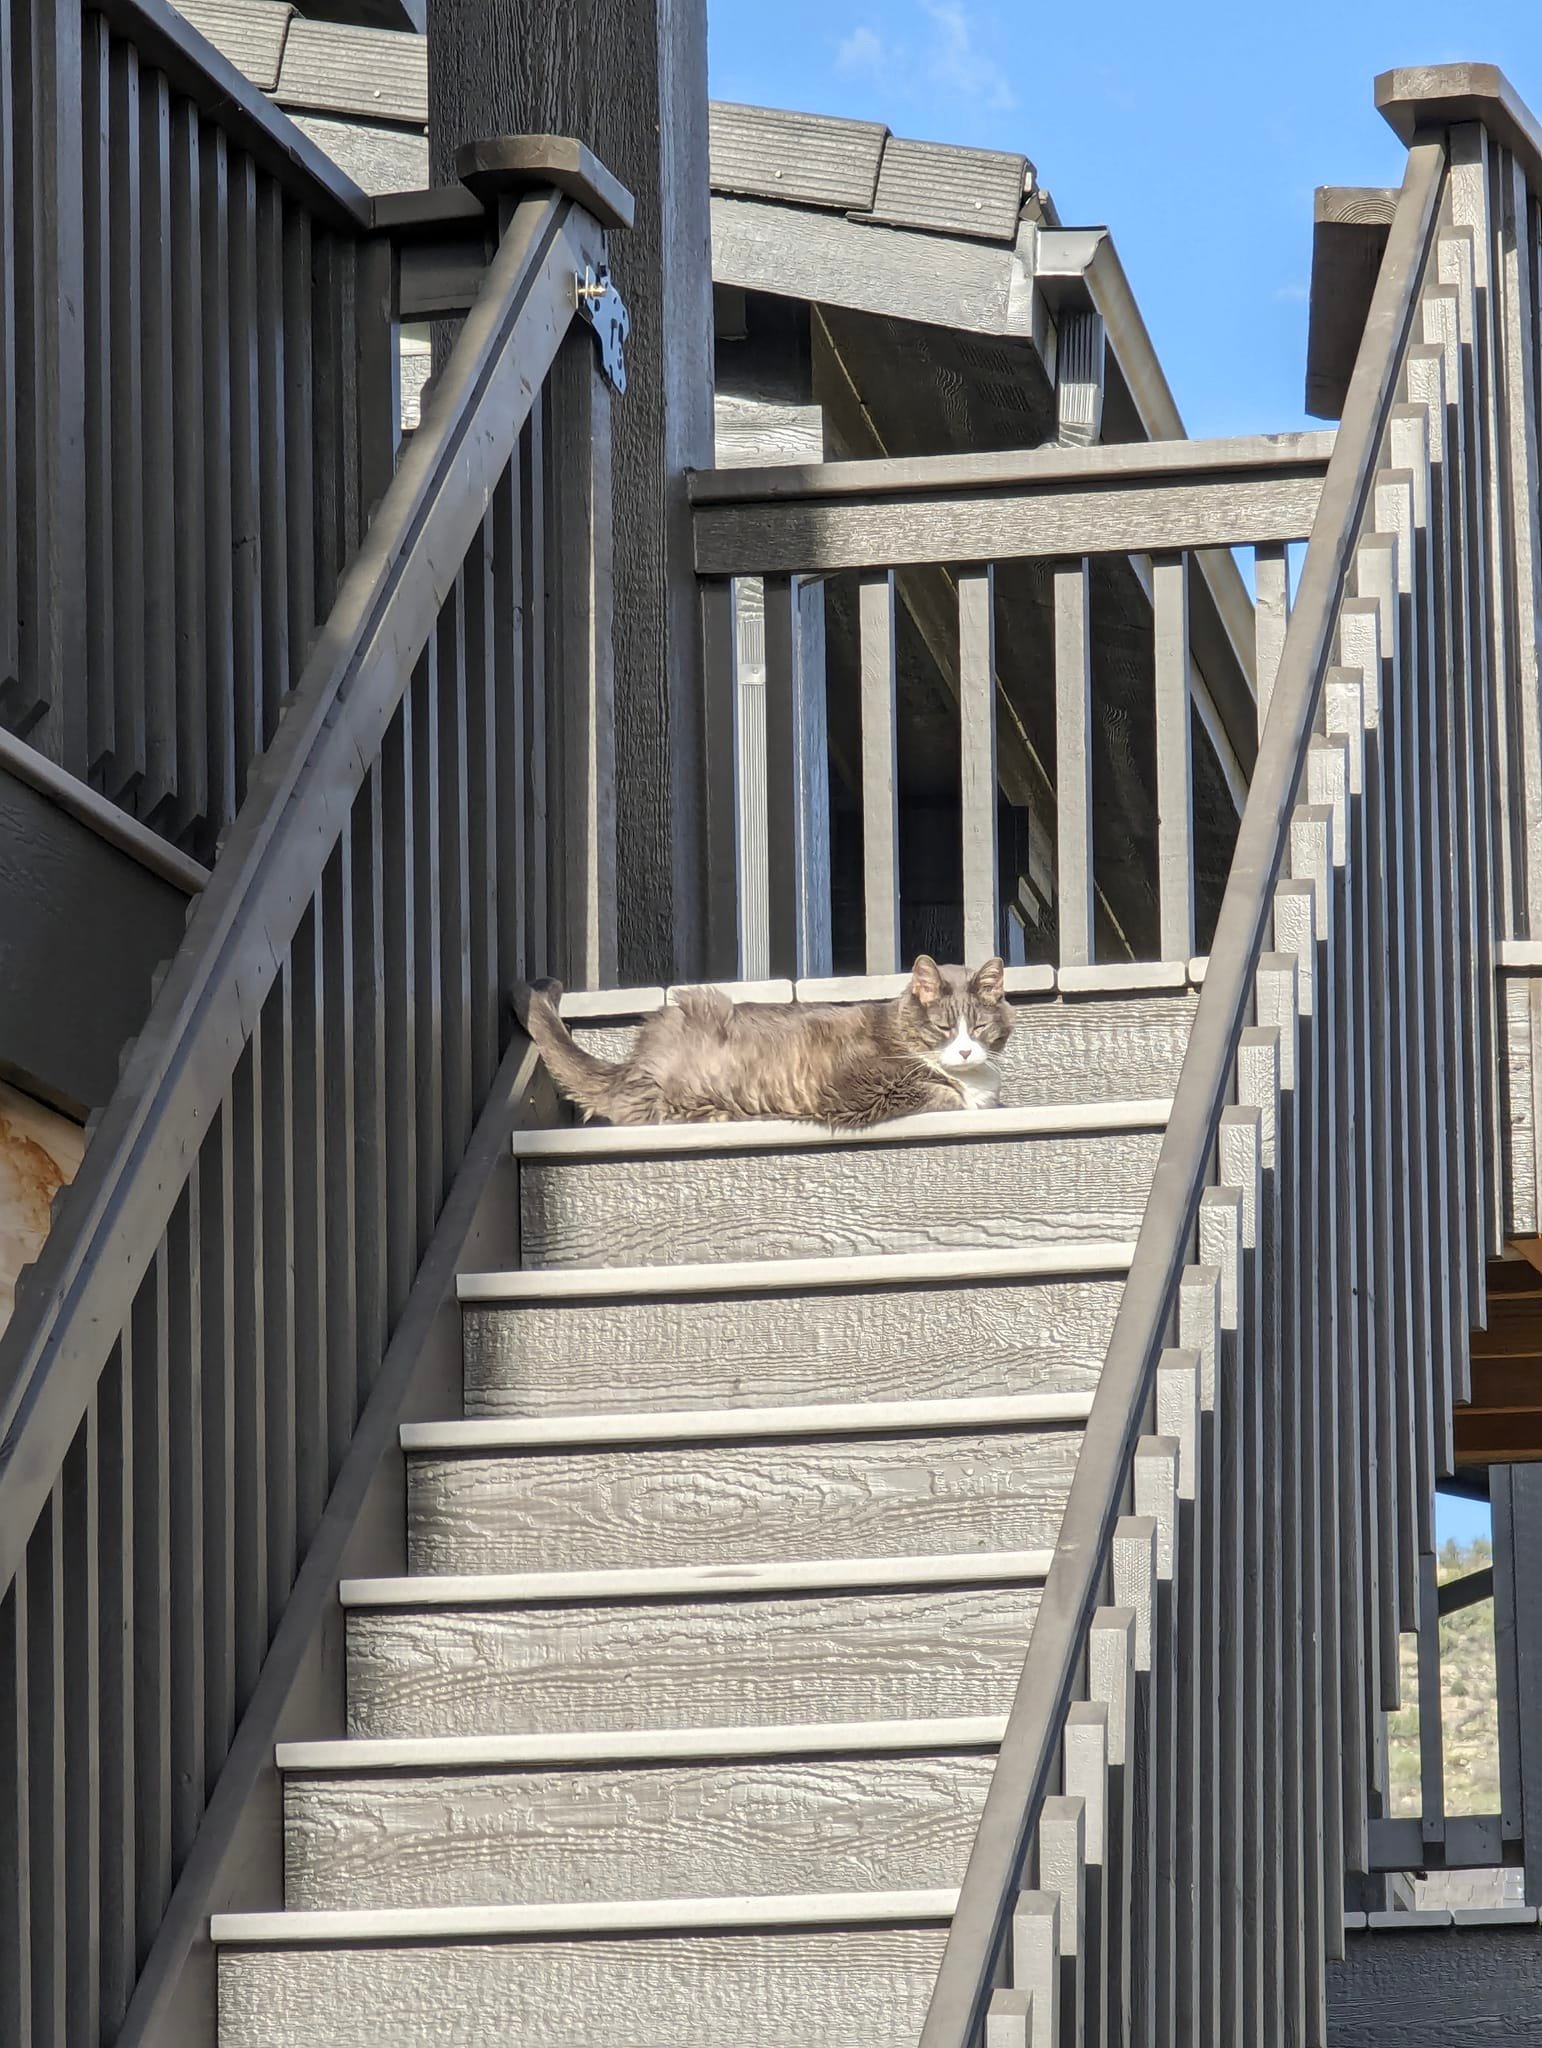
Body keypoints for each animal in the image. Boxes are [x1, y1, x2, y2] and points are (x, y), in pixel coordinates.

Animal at [517, 955, 1014, 1130]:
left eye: (980, 1027)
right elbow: (940, 1092)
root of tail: (632, 1063)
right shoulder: (861, 1085)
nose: (965, 1050)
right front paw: (959, 1095)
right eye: (944, 1028)